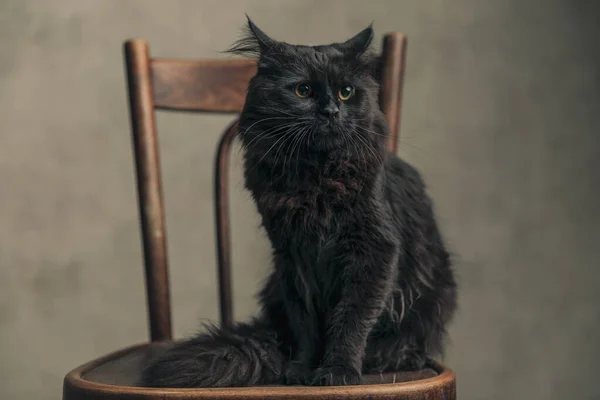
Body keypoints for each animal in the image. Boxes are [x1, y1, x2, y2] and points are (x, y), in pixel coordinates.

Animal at [141, 18, 454, 388]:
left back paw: (390, 357)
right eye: (303, 91)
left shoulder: (374, 250)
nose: (331, 110)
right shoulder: (293, 255)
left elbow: (350, 321)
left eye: (346, 92)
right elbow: (306, 323)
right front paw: (303, 368)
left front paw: (338, 371)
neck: (316, 177)